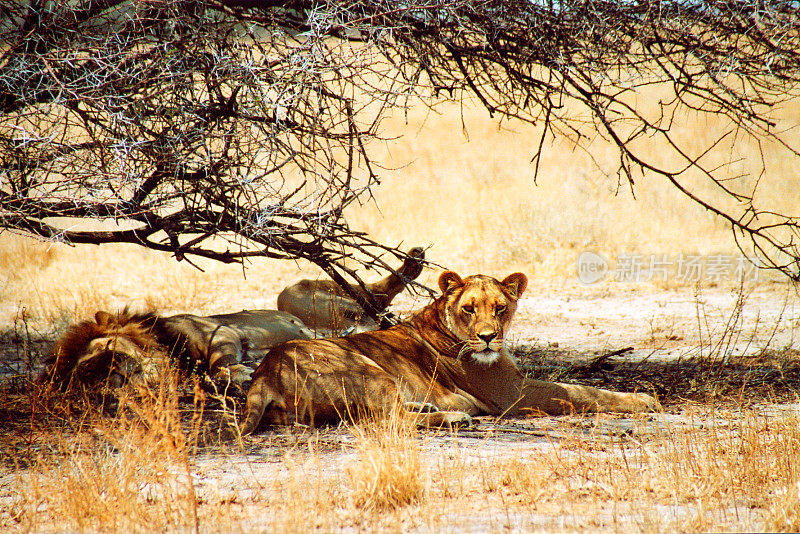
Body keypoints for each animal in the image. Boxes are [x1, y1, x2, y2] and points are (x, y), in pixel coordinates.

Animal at [42, 310, 314, 394]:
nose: (113, 366)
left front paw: (243, 373)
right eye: (86, 373)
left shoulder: (221, 332)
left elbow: (219, 364)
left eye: (106, 345)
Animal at [234, 272, 660, 436]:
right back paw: (456, 416)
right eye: (469, 308)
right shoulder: (514, 395)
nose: (487, 338)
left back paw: (433, 408)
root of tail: (264, 374)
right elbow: (585, 392)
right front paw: (645, 399)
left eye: (500, 308)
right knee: (387, 420)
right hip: (365, 364)